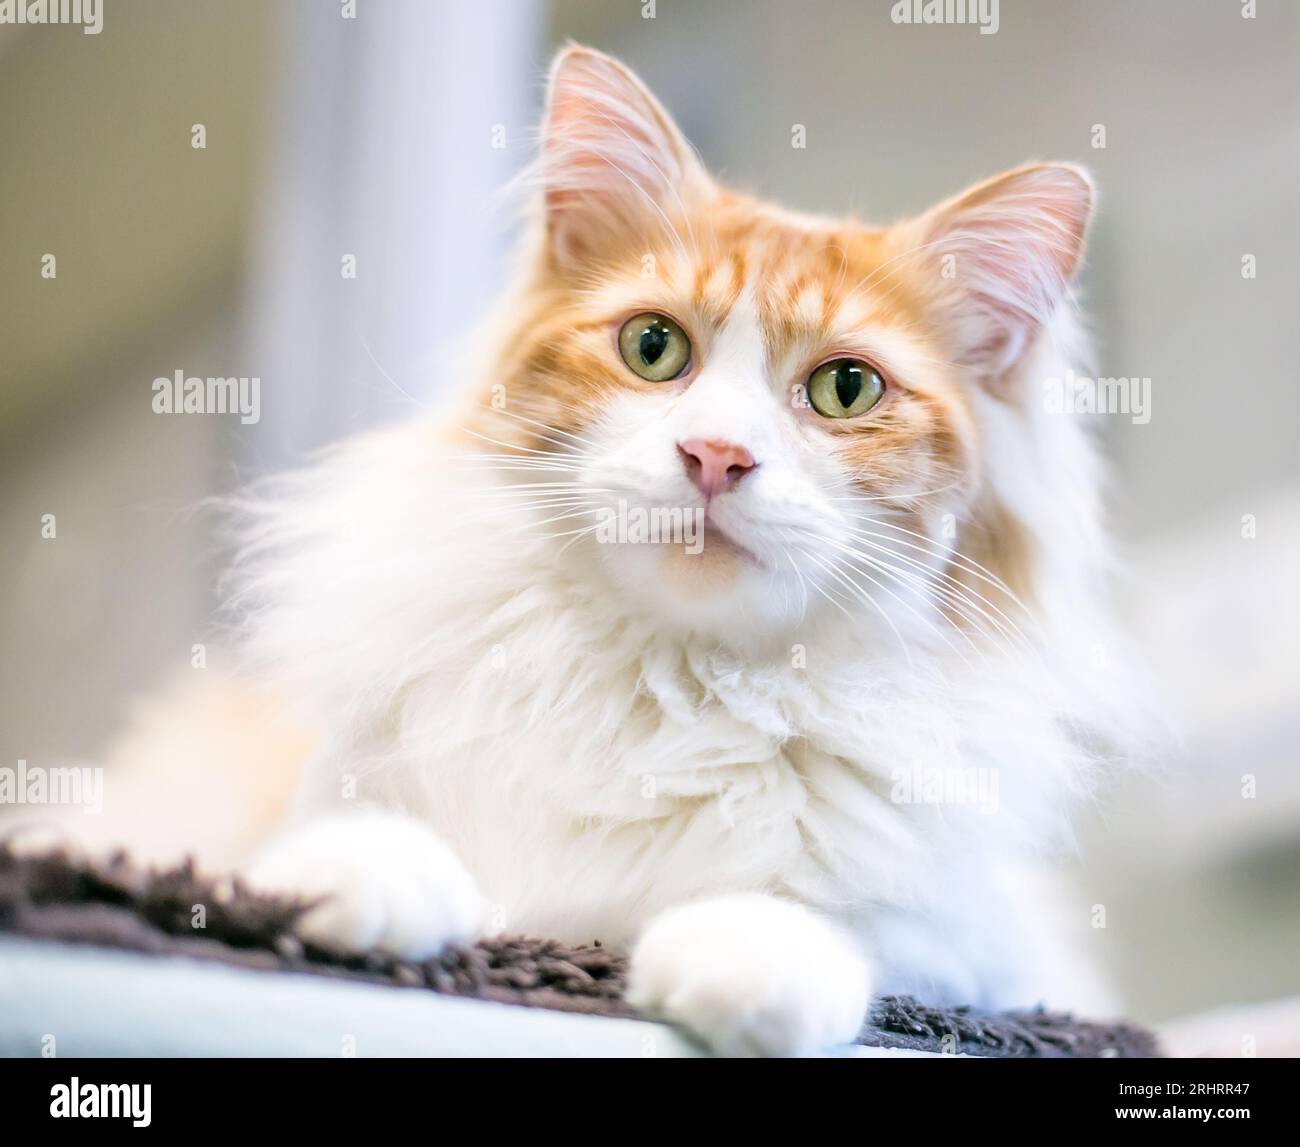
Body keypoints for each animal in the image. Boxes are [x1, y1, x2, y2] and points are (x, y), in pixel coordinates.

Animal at [43, 44, 1138, 1050]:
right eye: (654, 348)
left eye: (844, 389)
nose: (716, 455)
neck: (676, 685)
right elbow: (310, 848)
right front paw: (363, 881)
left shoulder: (995, 947)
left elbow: (856, 929)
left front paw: (744, 954)